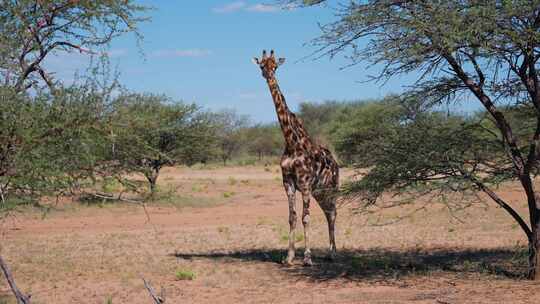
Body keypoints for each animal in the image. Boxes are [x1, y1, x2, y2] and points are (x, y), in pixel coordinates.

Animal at [252, 50, 338, 266]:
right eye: (262, 65)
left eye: (275, 66)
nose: (268, 75)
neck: (291, 142)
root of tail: (335, 162)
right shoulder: (288, 182)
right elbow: (292, 217)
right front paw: (289, 257)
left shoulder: (305, 183)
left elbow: (305, 217)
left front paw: (307, 257)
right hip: (319, 191)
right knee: (328, 212)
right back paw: (330, 251)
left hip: (331, 187)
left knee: (333, 212)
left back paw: (333, 252)